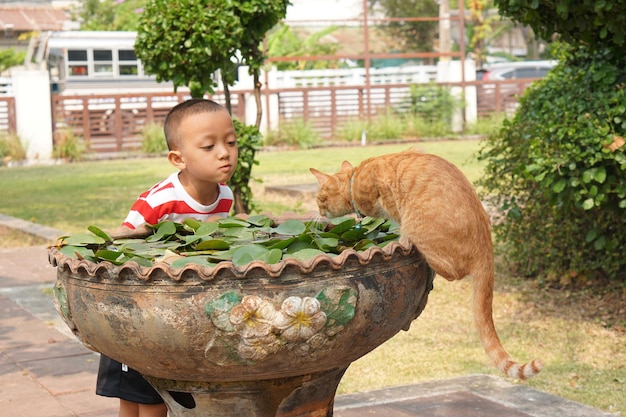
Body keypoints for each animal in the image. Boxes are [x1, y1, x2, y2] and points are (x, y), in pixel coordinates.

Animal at [310, 148, 540, 378]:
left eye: (319, 199)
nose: (318, 213)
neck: (355, 178)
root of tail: (486, 246)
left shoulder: (388, 196)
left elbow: (399, 229)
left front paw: (400, 242)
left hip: (420, 229)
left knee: (450, 272)